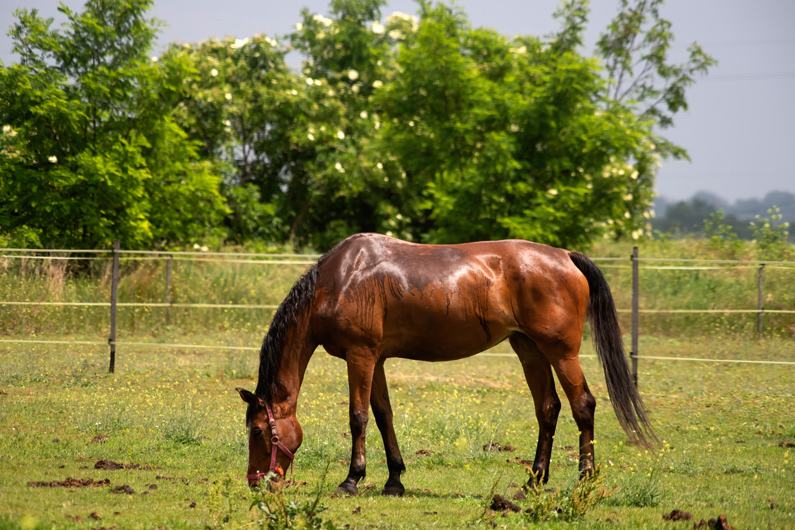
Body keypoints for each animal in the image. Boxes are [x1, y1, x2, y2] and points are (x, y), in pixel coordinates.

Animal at [236, 233, 655, 495]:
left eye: (258, 431)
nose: (257, 481)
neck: (341, 279)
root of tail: (565, 256)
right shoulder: (378, 359)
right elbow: (383, 415)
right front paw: (394, 480)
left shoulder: (361, 356)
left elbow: (358, 417)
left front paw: (351, 480)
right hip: (529, 349)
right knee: (548, 409)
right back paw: (534, 481)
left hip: (561, 352)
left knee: (583, 405)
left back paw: (584, 478)